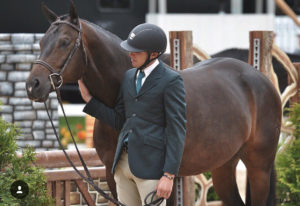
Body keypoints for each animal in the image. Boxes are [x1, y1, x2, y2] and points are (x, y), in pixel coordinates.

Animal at [25, 2, 282, 205]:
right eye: (41, 42)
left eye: (65, 42)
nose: (32, 85)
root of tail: (259, 79)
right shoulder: (113, 175)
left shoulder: (161, 179)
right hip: (223, 165)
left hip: (259, 167)